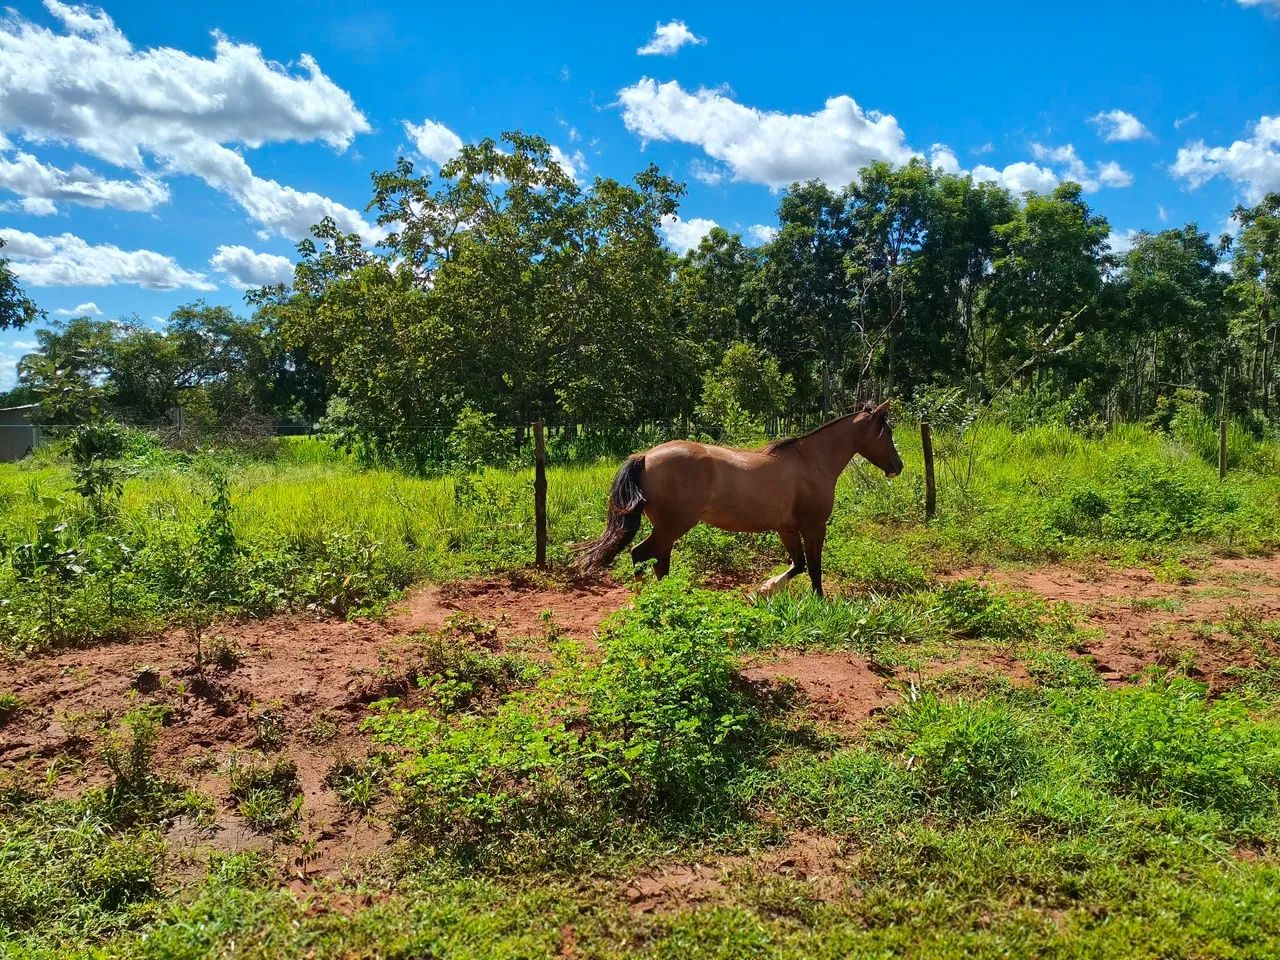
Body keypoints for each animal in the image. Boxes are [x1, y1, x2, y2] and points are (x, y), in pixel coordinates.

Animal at [575, 401, 904, 597]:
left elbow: (797, 564)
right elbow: (813, 567)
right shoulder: (813, 526)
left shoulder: (786, 528)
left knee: (659, 561)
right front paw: (819, 601)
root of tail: (645, 457)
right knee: (641, 555)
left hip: (667, 527)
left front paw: (764, 589)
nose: (897, 466)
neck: (812, 462)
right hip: (674, 525)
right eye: (887, 432)